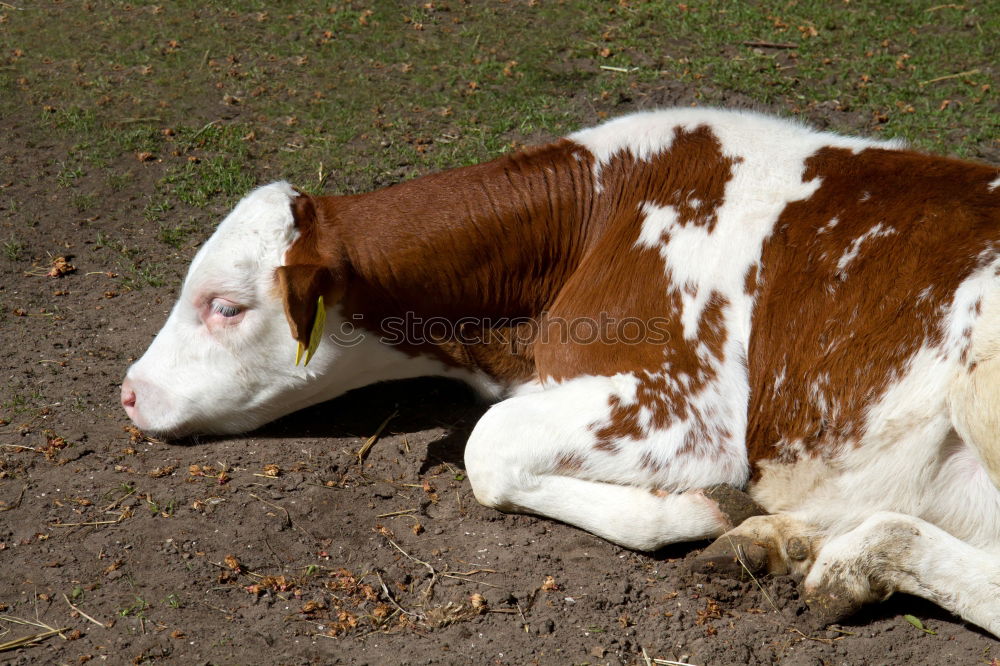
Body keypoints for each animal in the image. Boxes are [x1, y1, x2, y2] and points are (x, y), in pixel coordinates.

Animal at [121, 107, 1000, 632]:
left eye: (226, 306)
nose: (129, 391)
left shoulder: (683, 405)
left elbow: (486, 448)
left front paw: (695, 512)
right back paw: (784, 541)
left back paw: (845, 562)